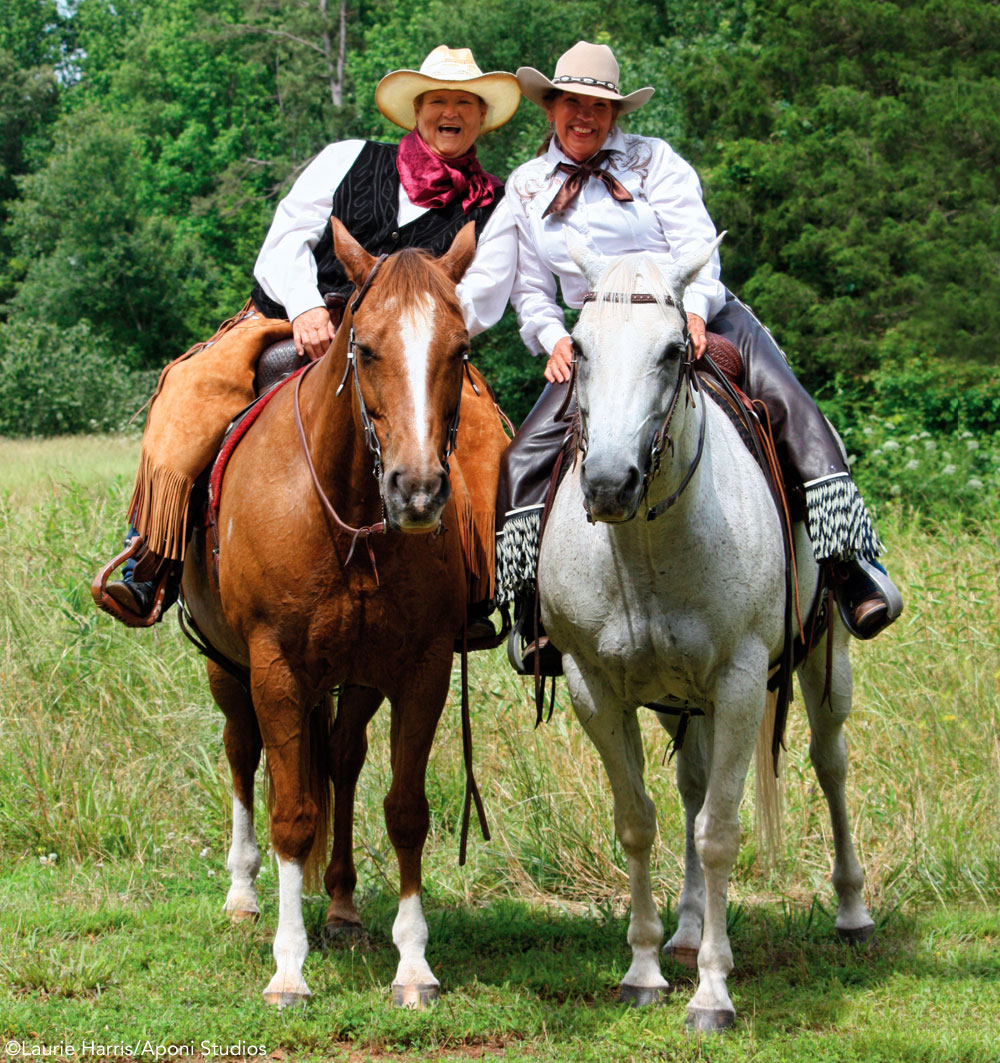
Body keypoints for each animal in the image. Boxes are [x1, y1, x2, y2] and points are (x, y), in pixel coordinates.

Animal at [183, 222, 490, 1003]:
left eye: (459, 349)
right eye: (367, 347)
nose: (417, 490)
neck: (347, 517)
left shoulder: (420, 669)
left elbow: (405, 811)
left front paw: (413, 964)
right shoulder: (275, 667)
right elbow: (292, 813)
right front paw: (288, 967)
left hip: (355, 680)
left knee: (345, 763)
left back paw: (345, 906)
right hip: (227, 667)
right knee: (242, 752)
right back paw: (243, 893)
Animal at [537, 237, 875, 1033]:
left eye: (671, 352)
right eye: (580, 349)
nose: (609, 483)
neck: (647, 548)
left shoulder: (742, 682)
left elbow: (720, 832)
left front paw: (713, 992)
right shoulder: (595, 688)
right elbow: (639, 820)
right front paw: (643, 970)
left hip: (824, 662)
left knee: (830, 764)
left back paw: (851, 913)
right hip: (679, 701)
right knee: (690, 790)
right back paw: (688, 931)